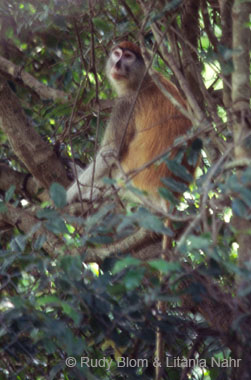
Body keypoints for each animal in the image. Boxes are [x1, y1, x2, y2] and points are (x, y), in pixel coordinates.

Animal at [66, 40, 196, 211]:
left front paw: (68, 195)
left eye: (128, 57)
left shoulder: (126, 105)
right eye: (117, 54)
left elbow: (110, 152)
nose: (117, 65)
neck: (144, 79)